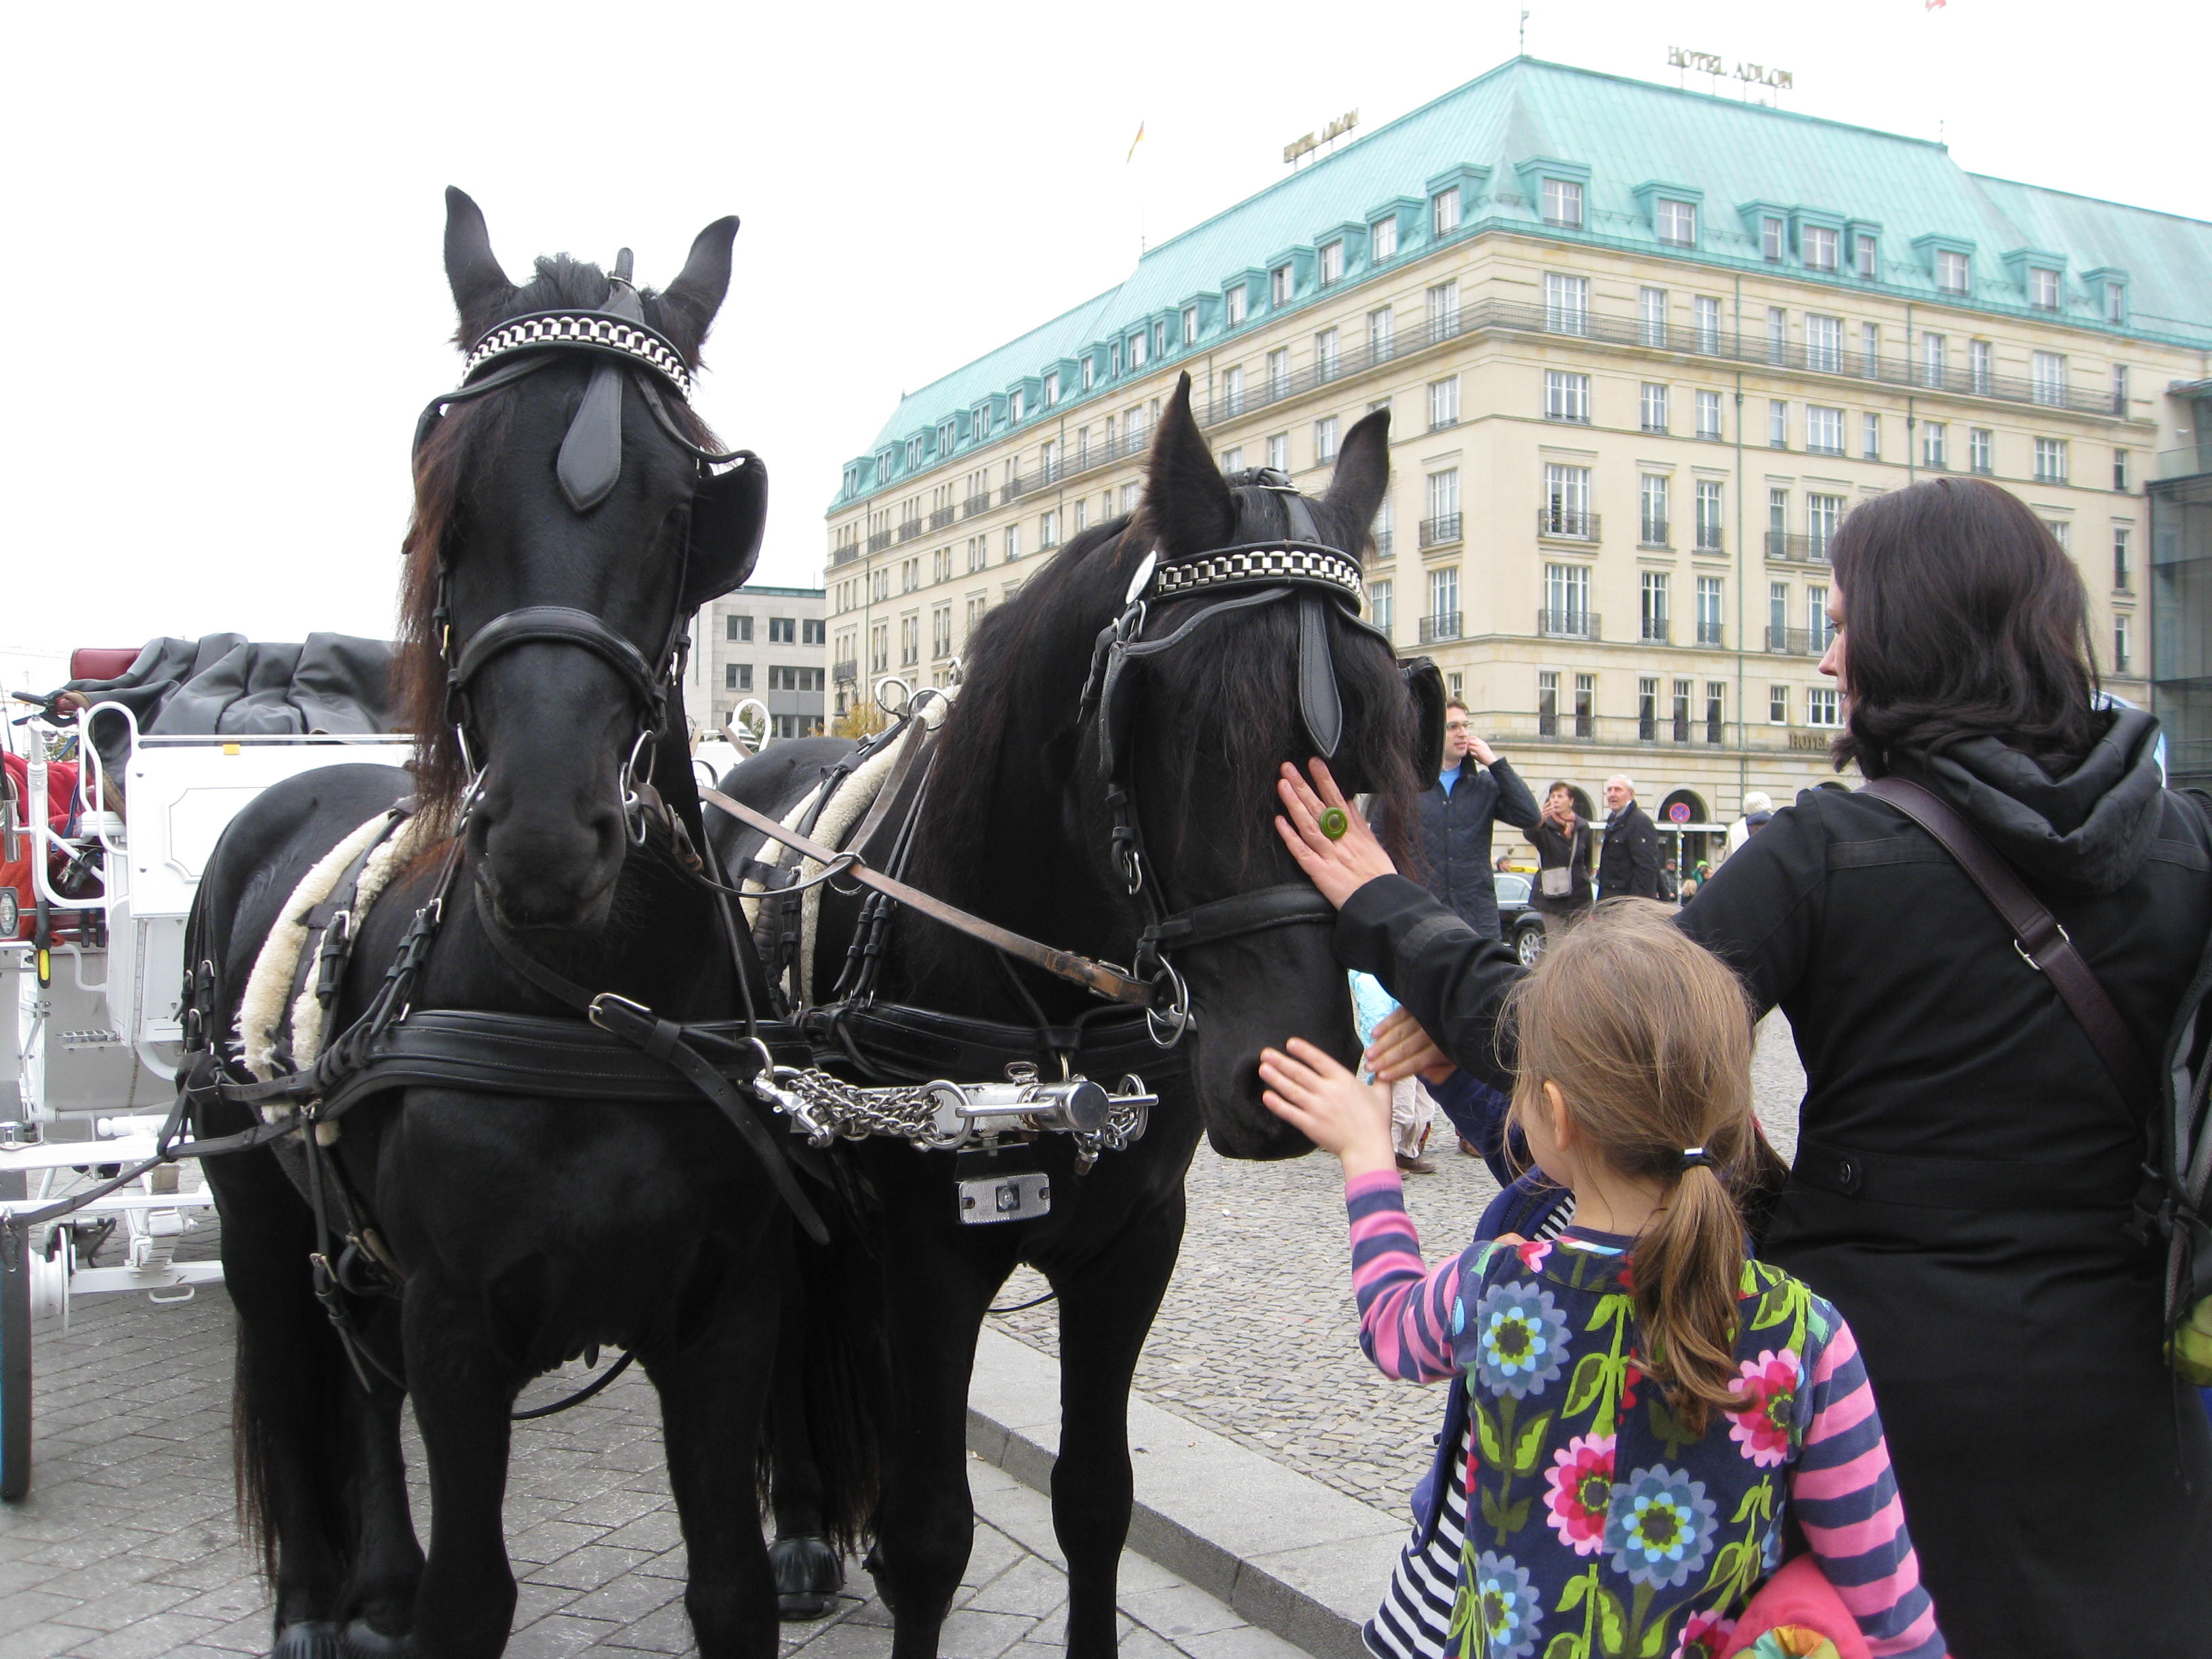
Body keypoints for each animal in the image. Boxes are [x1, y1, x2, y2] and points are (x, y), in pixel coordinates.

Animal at [184, 190, 868, 1659]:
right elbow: (473, 1596)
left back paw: (377, 1582)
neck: (589, 1004)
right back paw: (318, 1597)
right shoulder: (459, 1323)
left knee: (358, 1377)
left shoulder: (726, 1310)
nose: (549, 834)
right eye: (451, 489)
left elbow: (730, 1587)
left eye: (684, 510)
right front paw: (400, 1597)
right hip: (253, 1205)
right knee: (289, 1360)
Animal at [717, 375, 1426, 1659]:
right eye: (1185, 725)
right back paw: (795, 1535)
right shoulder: (929, 1255)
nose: (1290, 1074)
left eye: (1376, 729)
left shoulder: (1132, 1243)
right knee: (789, 1329)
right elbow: (929, 1536)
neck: (1051, 1019)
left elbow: (1095, 1499)